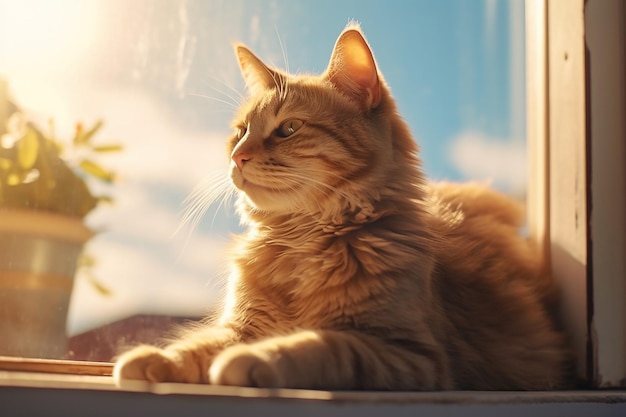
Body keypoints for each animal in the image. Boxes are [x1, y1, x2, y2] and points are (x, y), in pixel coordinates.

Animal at [112, 23, 572, 390]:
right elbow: (199, 345)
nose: (237, 157)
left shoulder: (412, 354)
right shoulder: (242, 325)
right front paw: (153, 359)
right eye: (240, 132)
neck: (302, 240)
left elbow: (323, 345)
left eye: (288, 129)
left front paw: (258, 358)